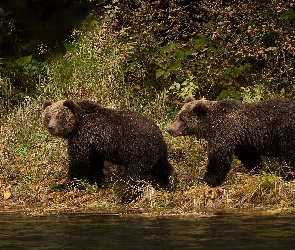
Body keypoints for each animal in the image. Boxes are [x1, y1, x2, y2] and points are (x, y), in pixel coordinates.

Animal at [41, 98, 176, 202]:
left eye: (59, 116)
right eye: (48, 116)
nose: (51, 127)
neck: (76, 125)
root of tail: (158, 134)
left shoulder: (83, 137)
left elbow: (78, 162)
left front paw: (64, 185)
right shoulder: (94, 145)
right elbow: (95, 164)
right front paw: (94, 182)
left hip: (136, 150)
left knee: (136, 174)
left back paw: (129, 197)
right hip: (154, 153)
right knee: (161, 167)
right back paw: (167, 182)